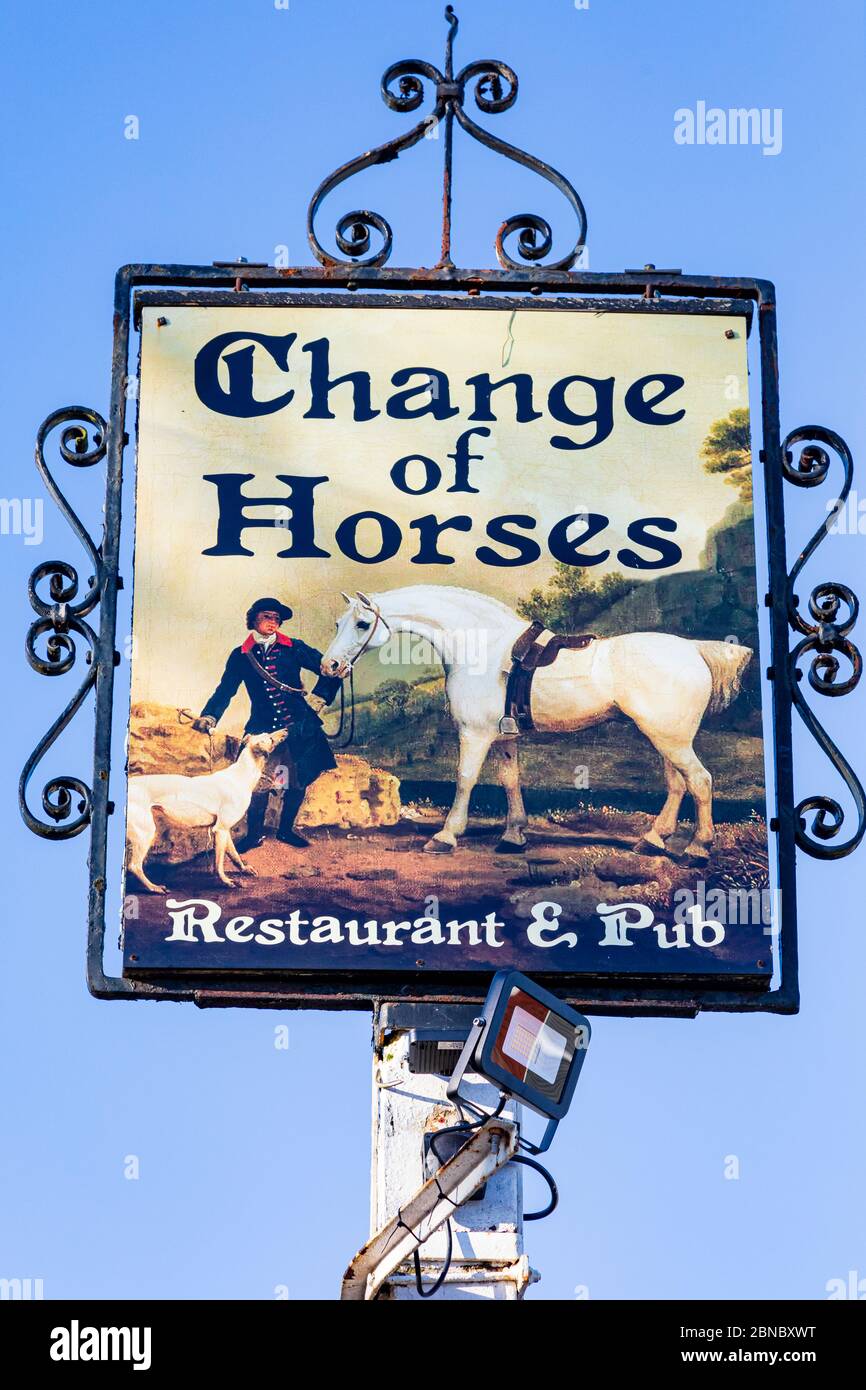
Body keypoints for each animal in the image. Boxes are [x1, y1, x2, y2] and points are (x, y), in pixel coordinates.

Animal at [125, 728, 287, 889]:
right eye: (270, 738)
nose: (286, 729)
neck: (241, 775)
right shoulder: (220, 830)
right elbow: (219, 863)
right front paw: (226, 881)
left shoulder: (225, 829)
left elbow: (234, 854)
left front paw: (244, 869)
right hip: (145, 834)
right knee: (134, 866)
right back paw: (154, 888)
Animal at [319, 583, 750, 856]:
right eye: (338, 624)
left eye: (362, 624)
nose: (330, 666)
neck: (482, 646)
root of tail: (694, 650)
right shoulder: (504, 737)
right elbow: (510, 780)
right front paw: (513, 835)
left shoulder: (474, 734)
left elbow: (465, 779)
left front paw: (445, 836)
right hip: (664, 736)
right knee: (678, 785)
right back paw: (654, 840)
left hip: (669, 737)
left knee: (699, 781)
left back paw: (698, 848)